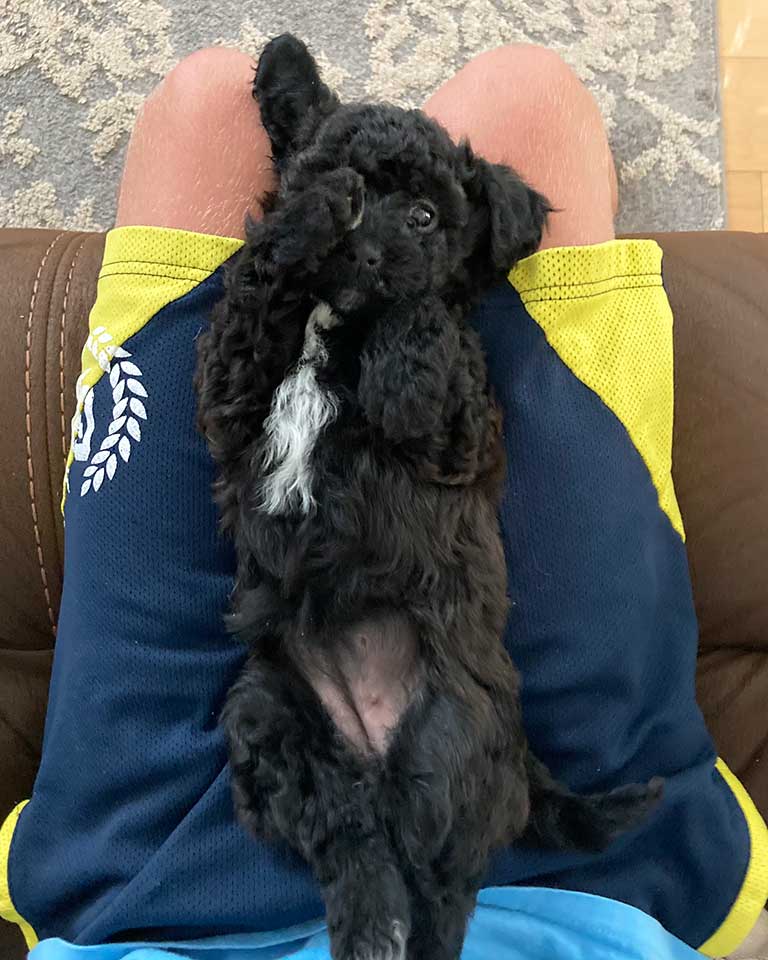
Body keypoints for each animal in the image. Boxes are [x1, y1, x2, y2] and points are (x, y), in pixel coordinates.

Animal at [196, 33, 660, 960]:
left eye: (423, 217)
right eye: (340, 179)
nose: (365, 249)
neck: (338, 322)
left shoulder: (459, 429)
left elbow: (425, 333)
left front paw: (413, 316)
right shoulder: (230, 390)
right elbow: (259, 283)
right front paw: (305, 221)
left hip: (447, 736)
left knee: (441, 885)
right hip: (270, 712)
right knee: (348, 834)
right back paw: (367, 921)